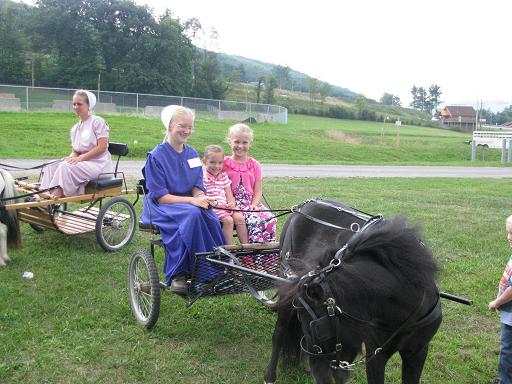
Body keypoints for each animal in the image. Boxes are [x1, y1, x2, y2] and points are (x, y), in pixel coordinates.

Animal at [264, 200, 440, 384]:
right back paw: (270, 375)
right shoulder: (375, 353)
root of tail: (300, 207)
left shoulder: (418, 352)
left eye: (317, 329)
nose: (321, 377)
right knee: (279, 333)